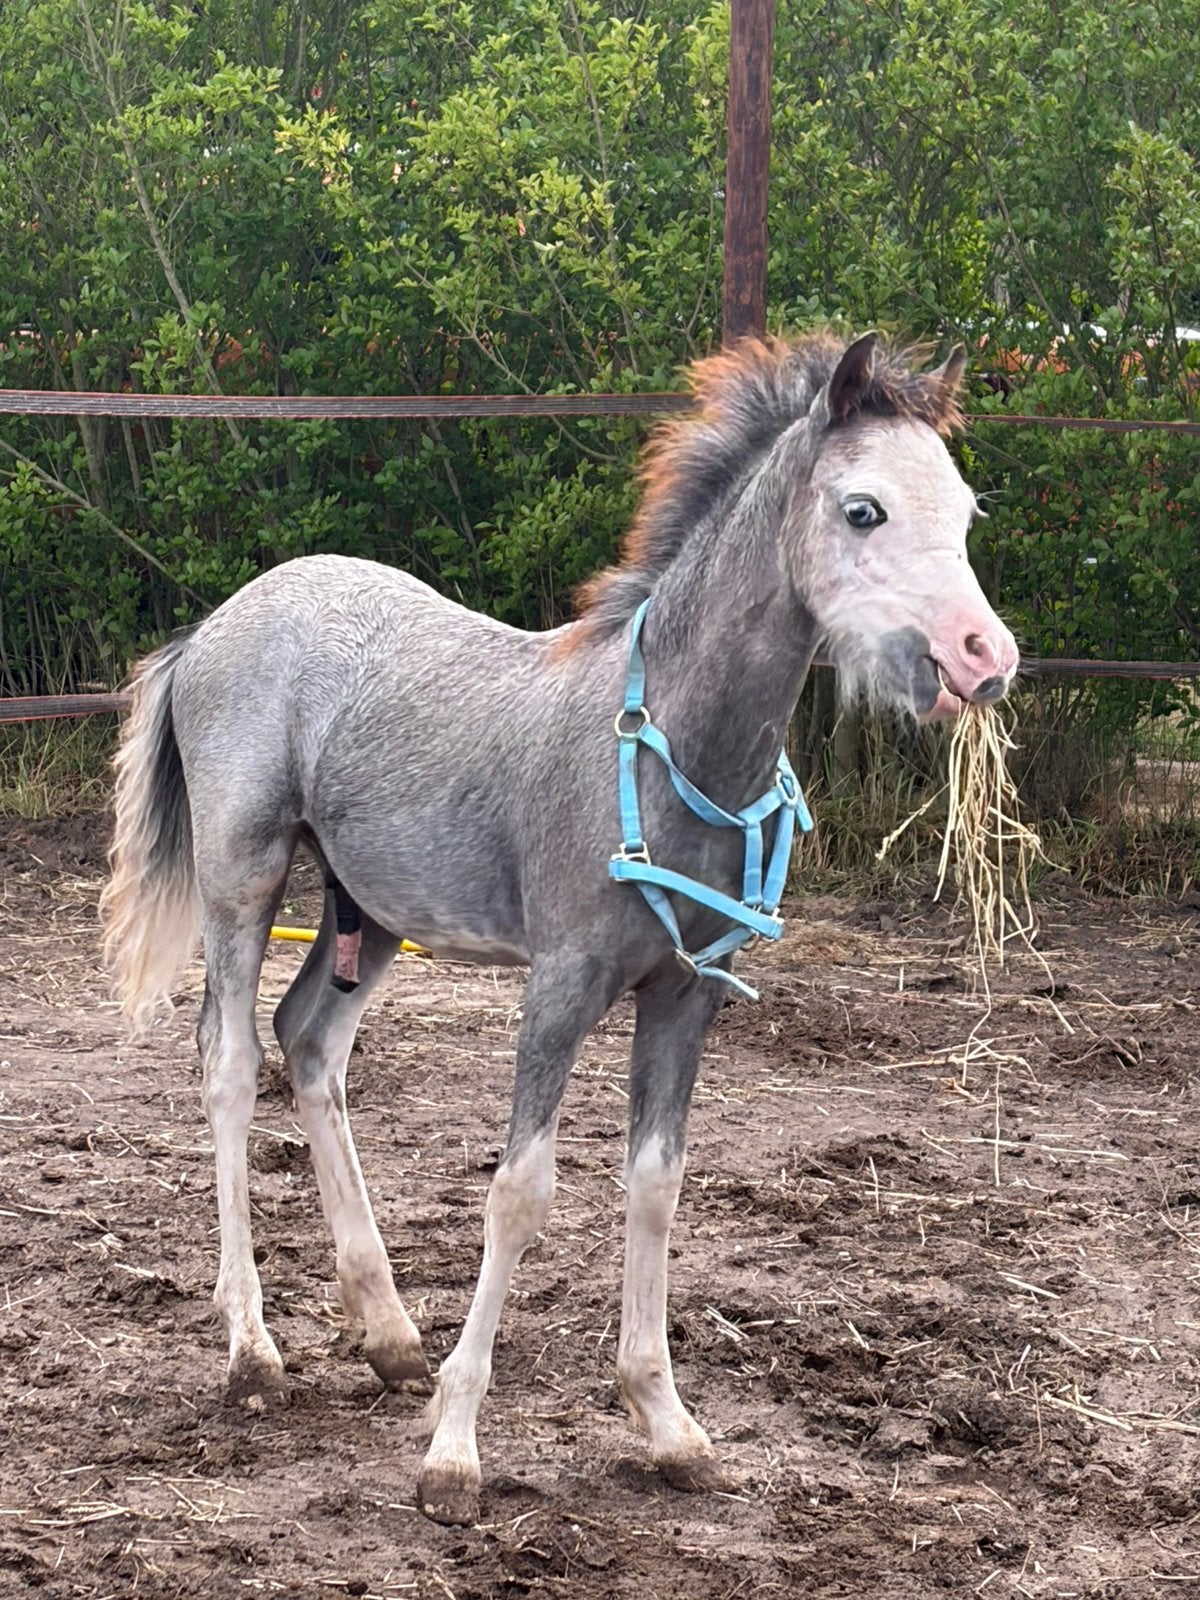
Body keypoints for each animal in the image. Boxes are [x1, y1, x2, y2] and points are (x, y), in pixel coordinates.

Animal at [101, 331, 1018, 1526]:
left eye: (963, 511)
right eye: (863, 510)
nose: (983, 656)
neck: (665, 746)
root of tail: (214, 623)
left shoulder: (686, 992)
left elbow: (656, 1181)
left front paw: (667, 1424)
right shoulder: (564, 981)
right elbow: (520, 1191)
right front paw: (453, 1451)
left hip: (374, 910)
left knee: (309, 1044)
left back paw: (390, 1334)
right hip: (241, 879)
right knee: (227, 1060)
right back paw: (253, 1350)